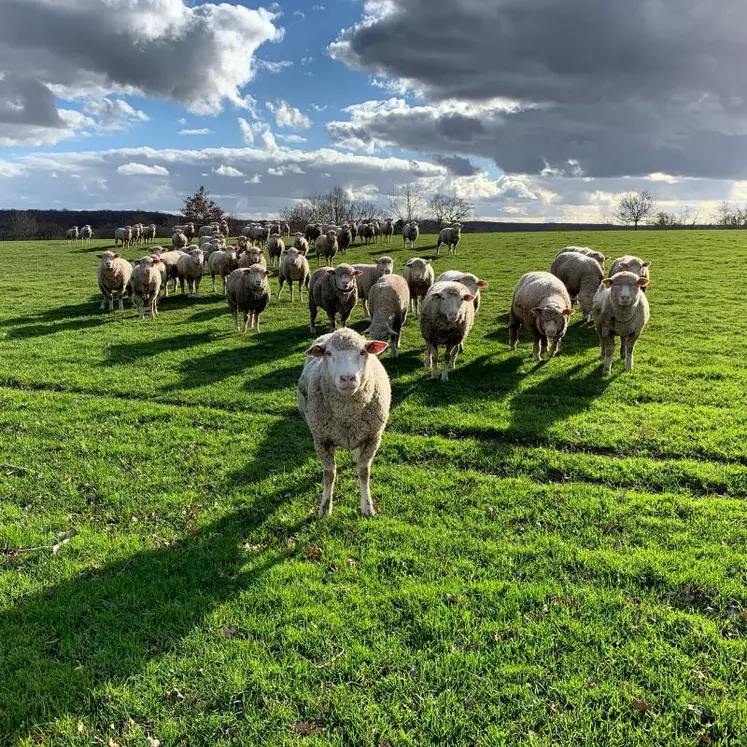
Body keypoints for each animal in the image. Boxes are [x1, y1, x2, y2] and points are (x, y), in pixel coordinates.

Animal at [298, 330, 392, 516]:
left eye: (362, 352)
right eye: (328, 353)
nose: (348, 378)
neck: (347, 413)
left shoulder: (373, 437)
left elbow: (364, 471)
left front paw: (367, 506)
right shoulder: (321, 440)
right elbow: (329, 474)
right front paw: (325, 507)